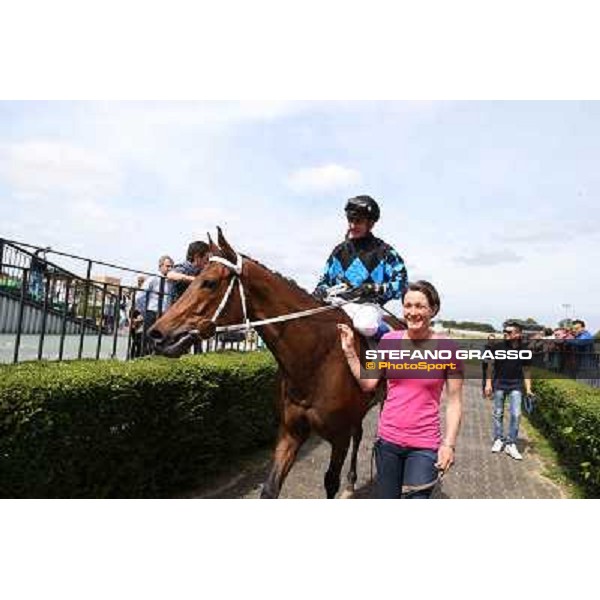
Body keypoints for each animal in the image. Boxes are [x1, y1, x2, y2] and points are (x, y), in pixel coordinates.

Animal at [150, 227, 390, 500]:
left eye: (209, 282)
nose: (156, 334)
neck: (316, 359)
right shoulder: (290, 431)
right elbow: (269, 489)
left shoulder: (339, 436)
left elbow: (330, 482)